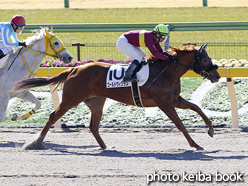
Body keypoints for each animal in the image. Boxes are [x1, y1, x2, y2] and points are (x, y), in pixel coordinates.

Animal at [12, 43, 220, 150]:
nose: (217, 75)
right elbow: (180, 124)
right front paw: (195, 144)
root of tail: (74, 69)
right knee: (53, 116)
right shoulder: (164, 103)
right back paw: (36, 143)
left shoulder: (174, 99)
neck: (166, 71)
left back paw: (105, 146)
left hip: (96, 101)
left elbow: (196, 107)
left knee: (93, 126)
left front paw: (210, 130)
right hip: (71, 98)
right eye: (204, 59)